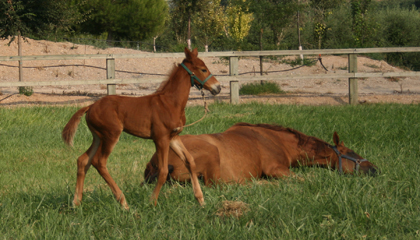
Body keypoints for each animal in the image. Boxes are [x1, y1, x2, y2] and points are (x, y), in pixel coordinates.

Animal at [63, 47, 220, 209]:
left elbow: (190, 161)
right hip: (111, 135)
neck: (170, 103)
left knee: (83, 160)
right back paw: (123, 202)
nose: (218, 87)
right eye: (203, 69)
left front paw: (201, 200)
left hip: (98, 137)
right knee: (99, 162)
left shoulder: (173, 137)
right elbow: (163, 171)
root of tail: (91, 106)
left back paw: (76, 202)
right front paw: (152, 202)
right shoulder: (161, 138)